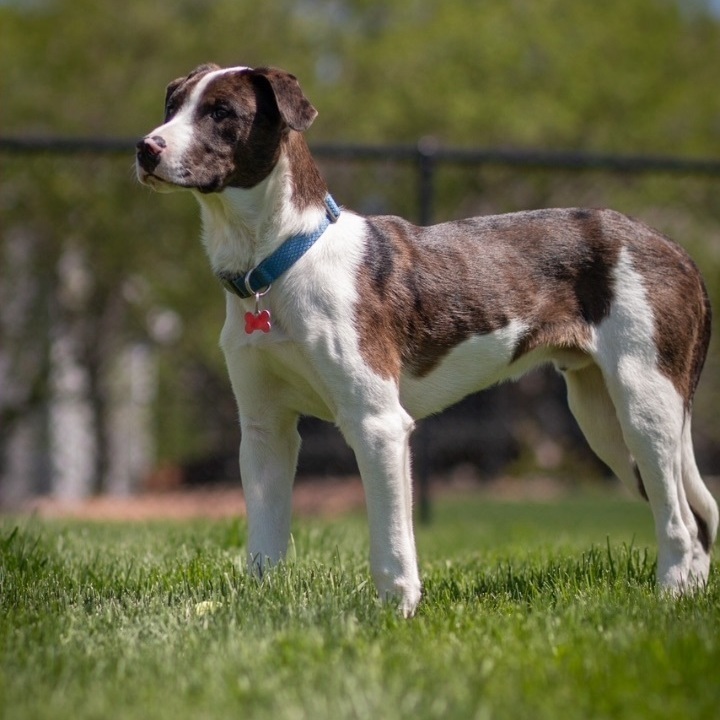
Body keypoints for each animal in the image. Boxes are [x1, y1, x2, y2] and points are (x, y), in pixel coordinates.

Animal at [137, 63, 717, 615]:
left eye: (221, 112)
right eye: (172, 105)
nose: (146, 147)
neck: (278, 262)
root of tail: (677, 249)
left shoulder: (377, 424)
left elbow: (392, 541)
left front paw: (397, 610)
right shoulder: (265, 430)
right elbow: (264, 540)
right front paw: (261, 604)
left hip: (644, 404)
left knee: (683, 523)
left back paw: (670, 599)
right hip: (603, 421)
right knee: (699, 516)